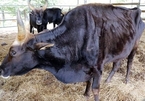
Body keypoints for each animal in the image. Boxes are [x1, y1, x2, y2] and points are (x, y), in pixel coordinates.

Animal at [0, 3, 145, 101]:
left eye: (13, 52)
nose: (1, 69)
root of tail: (135, 9)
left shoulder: (98, 68)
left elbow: (95, 89)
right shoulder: (87, 67)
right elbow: (88, 81)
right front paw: (85, 94)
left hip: (135, 46)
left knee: (129, 62)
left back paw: (126, 80)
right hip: (121, 48)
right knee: (117, 64)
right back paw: (108, 80)